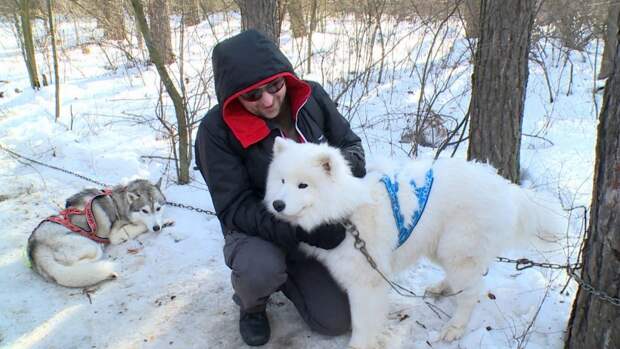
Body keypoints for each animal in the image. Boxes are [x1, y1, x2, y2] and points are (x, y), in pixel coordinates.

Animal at [264, 137, 564, 346]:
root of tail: (505, 187)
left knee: (471, 293)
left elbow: (362, 323)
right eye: (281, 181)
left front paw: (359, 345)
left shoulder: (366, 283)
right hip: (439, 246)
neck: (345, 214)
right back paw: (441, 288)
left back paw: (454, 328)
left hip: (458, 250)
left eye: (303, 185)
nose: (277, 204)